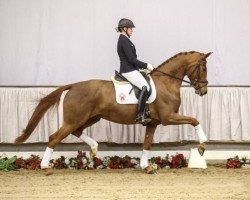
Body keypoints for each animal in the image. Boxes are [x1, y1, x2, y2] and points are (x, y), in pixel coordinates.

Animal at [14, 51, 211, 173]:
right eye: (203, 68)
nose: (203, 91)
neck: (166, 83)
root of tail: (73, 85)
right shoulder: (168, 118)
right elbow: (195, 120)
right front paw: (202, 146)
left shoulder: (153, 123)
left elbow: (147, 144)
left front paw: (145, 167)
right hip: (74, 119)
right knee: (54, 138)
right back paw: (45, 167)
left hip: (90, 118)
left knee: (77, 132)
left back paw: (94, 149)